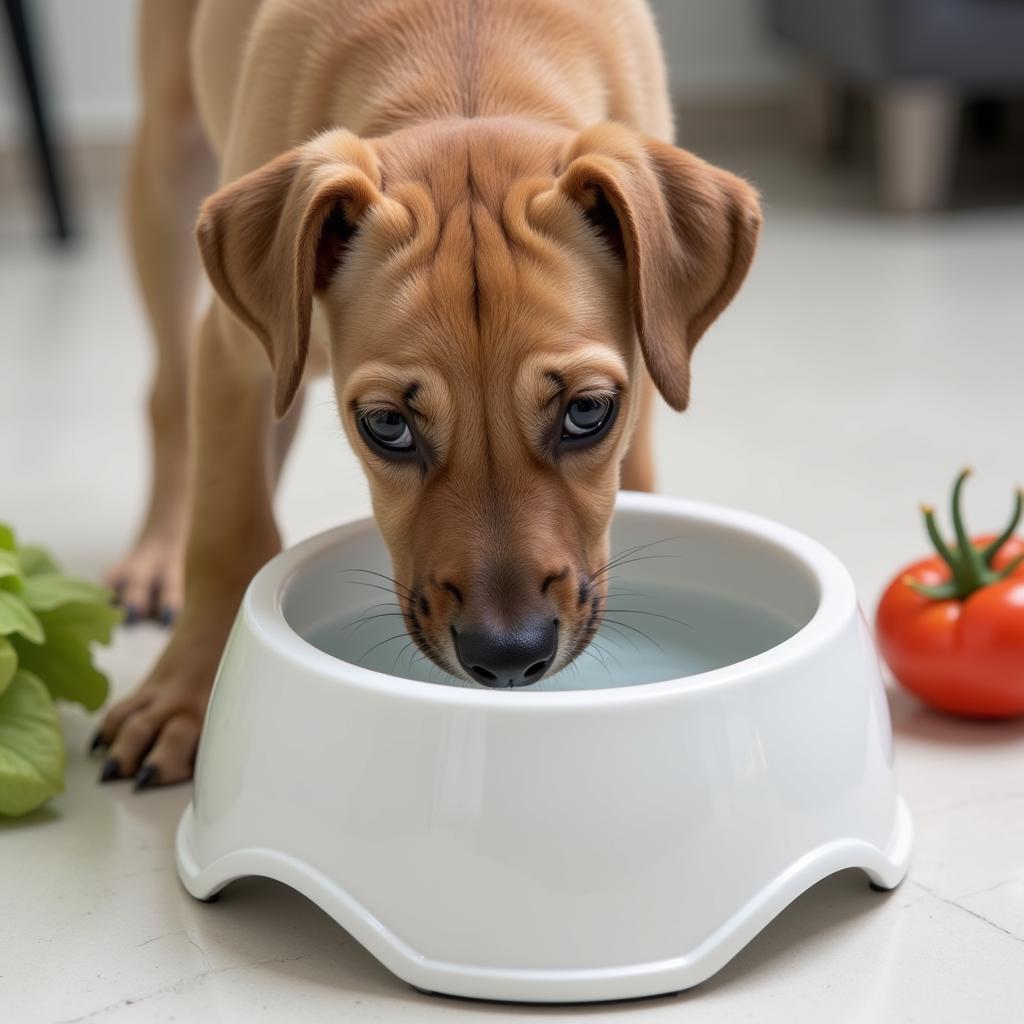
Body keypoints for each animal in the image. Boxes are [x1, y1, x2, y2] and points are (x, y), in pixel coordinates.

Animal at [97, 0, 761, 790]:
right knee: (169, 399)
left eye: (588, 412)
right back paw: (156, 557)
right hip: (170, 160)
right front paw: (182, 697)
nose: (509, 657)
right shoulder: (232, 354)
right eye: (386, 425)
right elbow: (229, 533)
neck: (466, 71)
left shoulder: (653, 352)